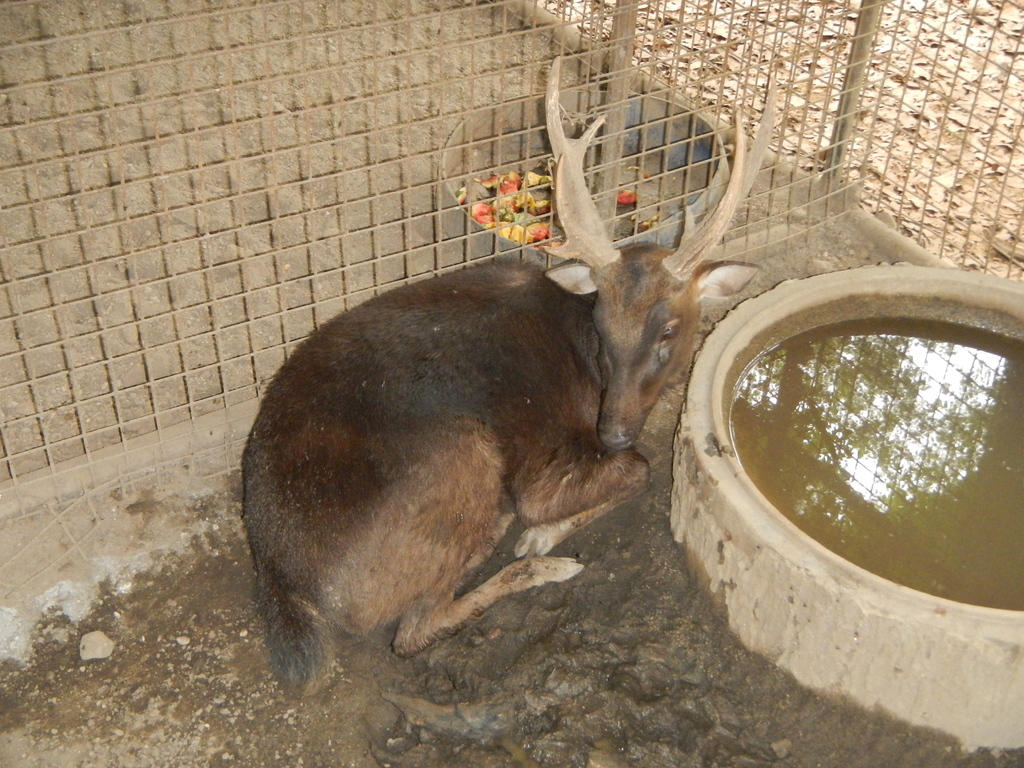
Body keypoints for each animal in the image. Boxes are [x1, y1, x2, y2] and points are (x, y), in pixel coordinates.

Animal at [239, 57, 770, 688]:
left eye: (668, 330)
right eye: (603, 322)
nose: (614, 431)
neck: (588, 366)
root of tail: (281, 580)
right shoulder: (545, 462)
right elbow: (632, 475)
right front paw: (543, 533)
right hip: (464, 457)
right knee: (412, 630)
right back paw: (542, 563)